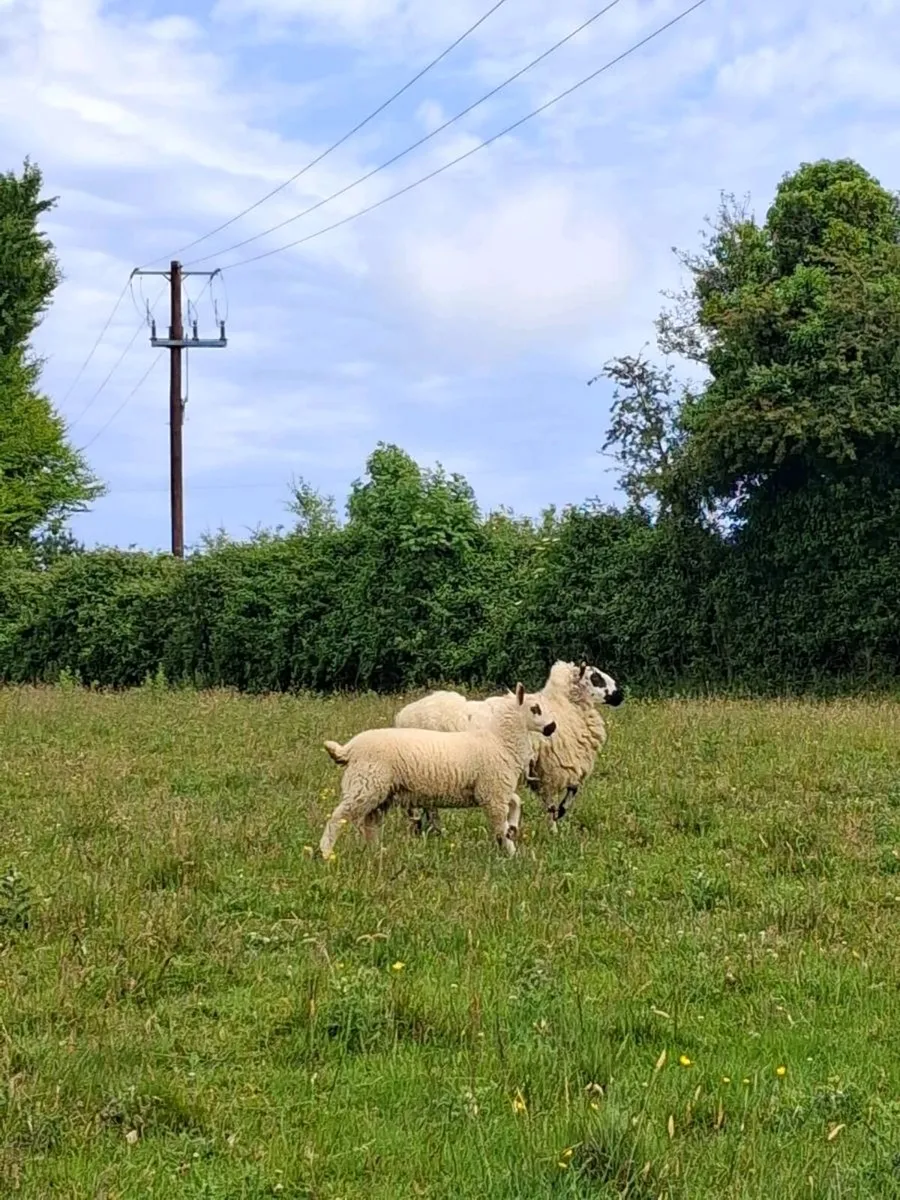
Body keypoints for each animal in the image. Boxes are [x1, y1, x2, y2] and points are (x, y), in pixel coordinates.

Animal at [318, 683, 557, 859]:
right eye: (535, 708)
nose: (552, 727)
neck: (499, 741)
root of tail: (349, 748)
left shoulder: (494, 790)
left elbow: (517, 803)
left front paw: (514, 828)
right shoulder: (493, 794)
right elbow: (500, 825)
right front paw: (512, 852)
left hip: (379, 792)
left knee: (370, 824)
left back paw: (377, 853)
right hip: (365, 785)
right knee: (338, 818)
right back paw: (325, 853)